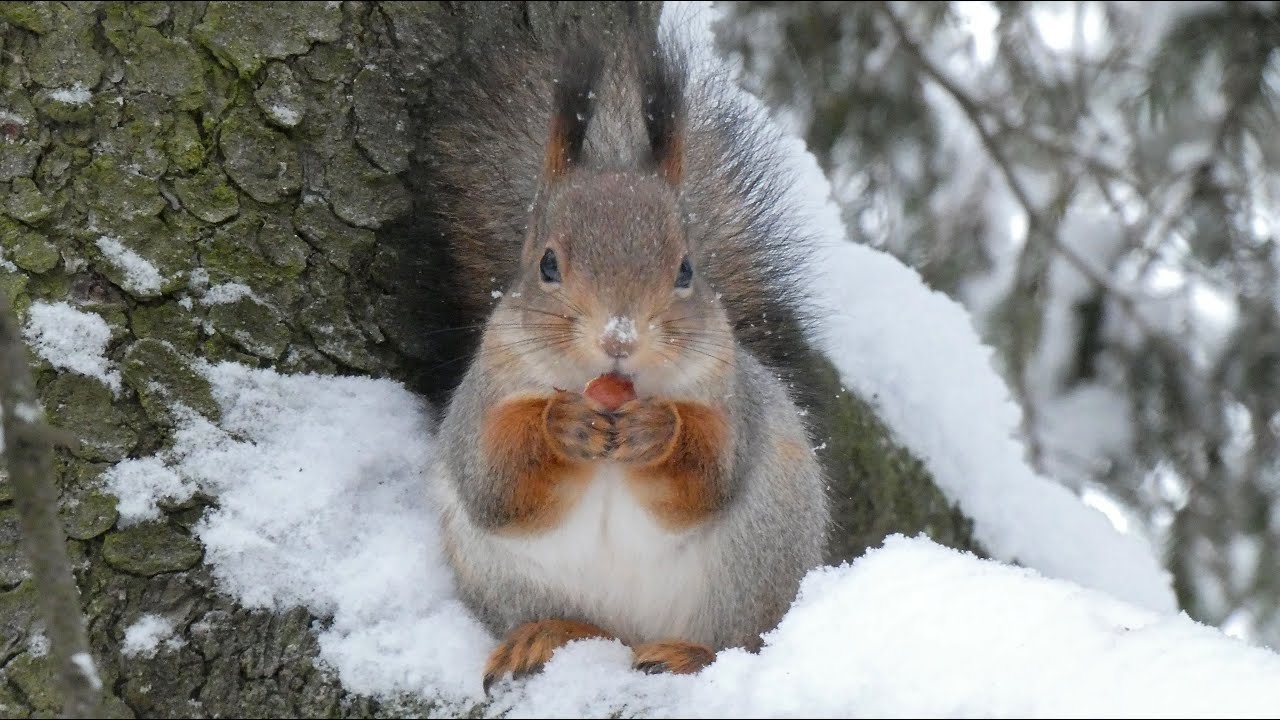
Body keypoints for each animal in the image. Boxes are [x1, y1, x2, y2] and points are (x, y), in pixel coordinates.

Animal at [411, 14, 831, 694]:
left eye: (687, 269)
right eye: (547, 264)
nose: (620, 340)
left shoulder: (729, 396)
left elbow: (710, 474)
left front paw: (656, 429)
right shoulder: (485, 395)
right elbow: (496, 483)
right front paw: (561, 424)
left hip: (754, 573)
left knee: (738, 642)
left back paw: (687, 654)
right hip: (504, 579)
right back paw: (545, 635)